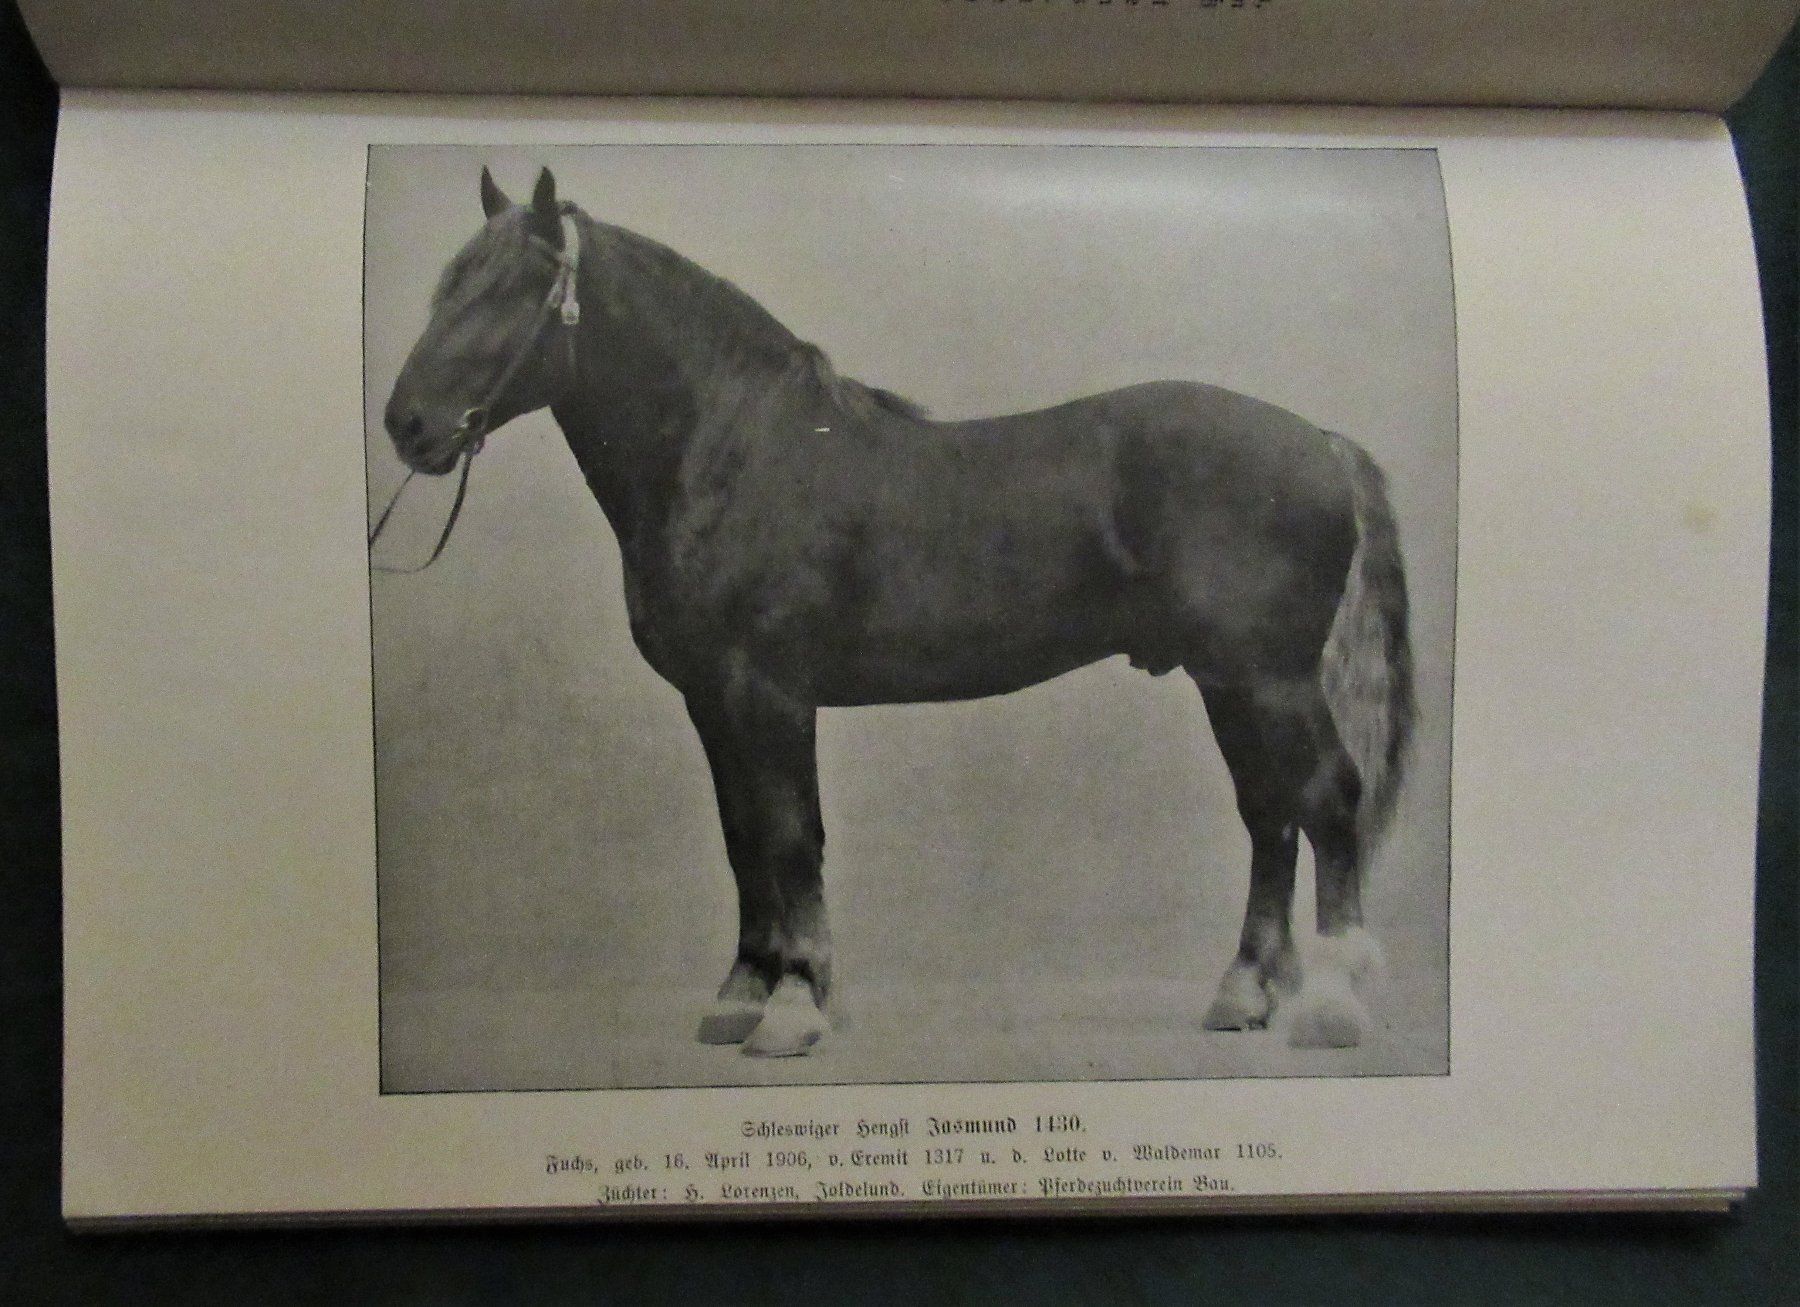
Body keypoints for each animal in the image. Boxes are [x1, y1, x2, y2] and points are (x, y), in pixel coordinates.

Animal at [379, 166, 1415, 1059]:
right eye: (450, 286)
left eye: (512, 288)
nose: (407, 424)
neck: (733, 451)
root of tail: (1321, 441)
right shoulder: (711, 700)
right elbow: (743, 836)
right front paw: (741, 994)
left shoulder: (770, 692)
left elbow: (791, 835)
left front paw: (795, 1007)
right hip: (1228, 680)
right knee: (1269, 814)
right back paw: (1244, 994)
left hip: (1268, 677)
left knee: (1328, 798)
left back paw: (1331, 1002)